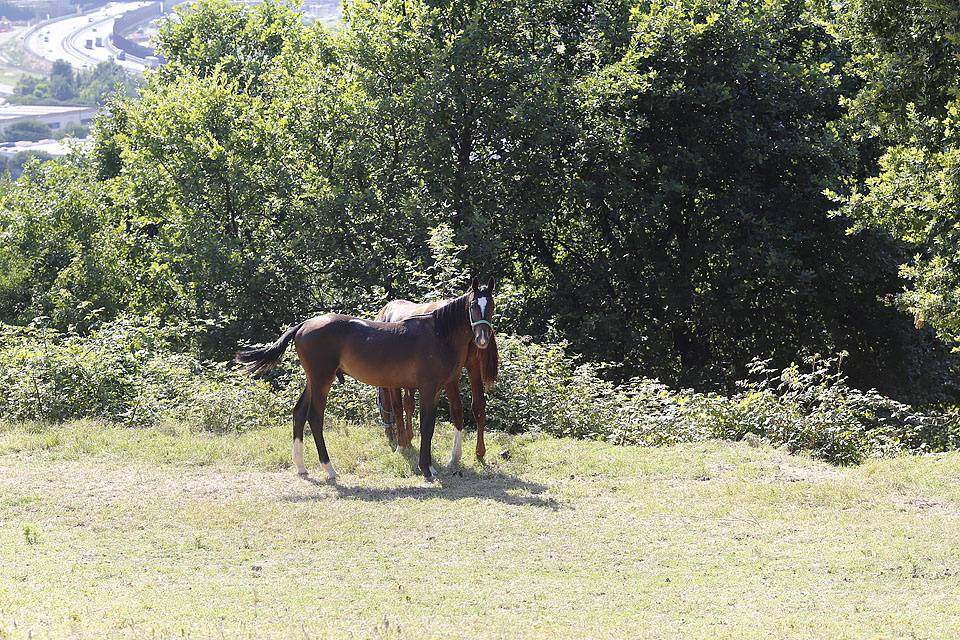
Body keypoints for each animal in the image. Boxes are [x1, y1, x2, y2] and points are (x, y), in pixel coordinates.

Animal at [374, 292, 498, 462]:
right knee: (478, 405)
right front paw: (409, 438)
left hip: (453, 377)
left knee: (457, 409)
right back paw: (479, 451)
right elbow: (408, 404)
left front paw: (403, 443)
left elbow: (399, 407)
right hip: (473, 368)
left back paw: (455, 455)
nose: (388, 434)